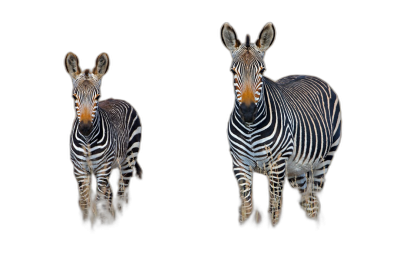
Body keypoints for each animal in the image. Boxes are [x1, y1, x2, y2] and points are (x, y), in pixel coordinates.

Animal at [64, 52, 142, 226]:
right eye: (74, 96)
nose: (85, 128)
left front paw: (103, 221)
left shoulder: (102, 169)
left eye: (97, 96)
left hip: (128, 160)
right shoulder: (80, 170)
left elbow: (99, 203)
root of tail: (117, 98)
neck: (87, 142)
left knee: (121, 194)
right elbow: (86, 203)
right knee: (110, 194)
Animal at [220, 22, 342, 226]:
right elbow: (246, 209)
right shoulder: (239, 164)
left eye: (262, 71)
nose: (247, 113)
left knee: (314, 201)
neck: (250, 130)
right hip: (297, 168)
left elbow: (274, 211)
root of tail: (307, 74)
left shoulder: (276, 165)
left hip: (324, 159)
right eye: (232, 71)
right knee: (307, 200)